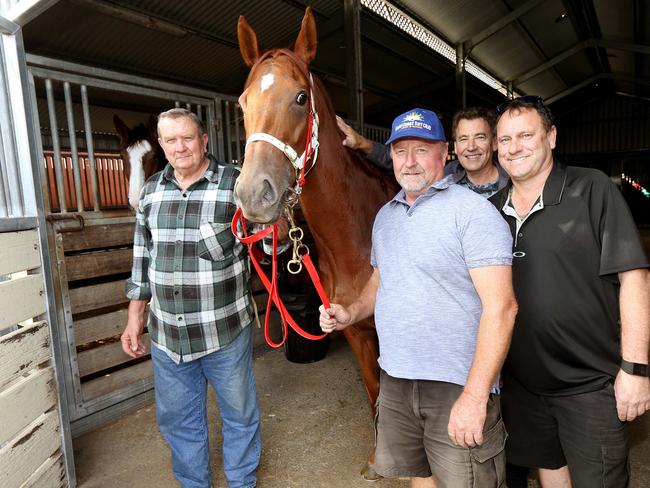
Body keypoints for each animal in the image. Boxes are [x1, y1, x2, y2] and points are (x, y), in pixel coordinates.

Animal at [233, 5, 394, 458]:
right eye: (243, 103)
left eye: (301, 98)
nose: (253, 194)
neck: (356, 241)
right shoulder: (357, 335)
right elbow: (375, 396)